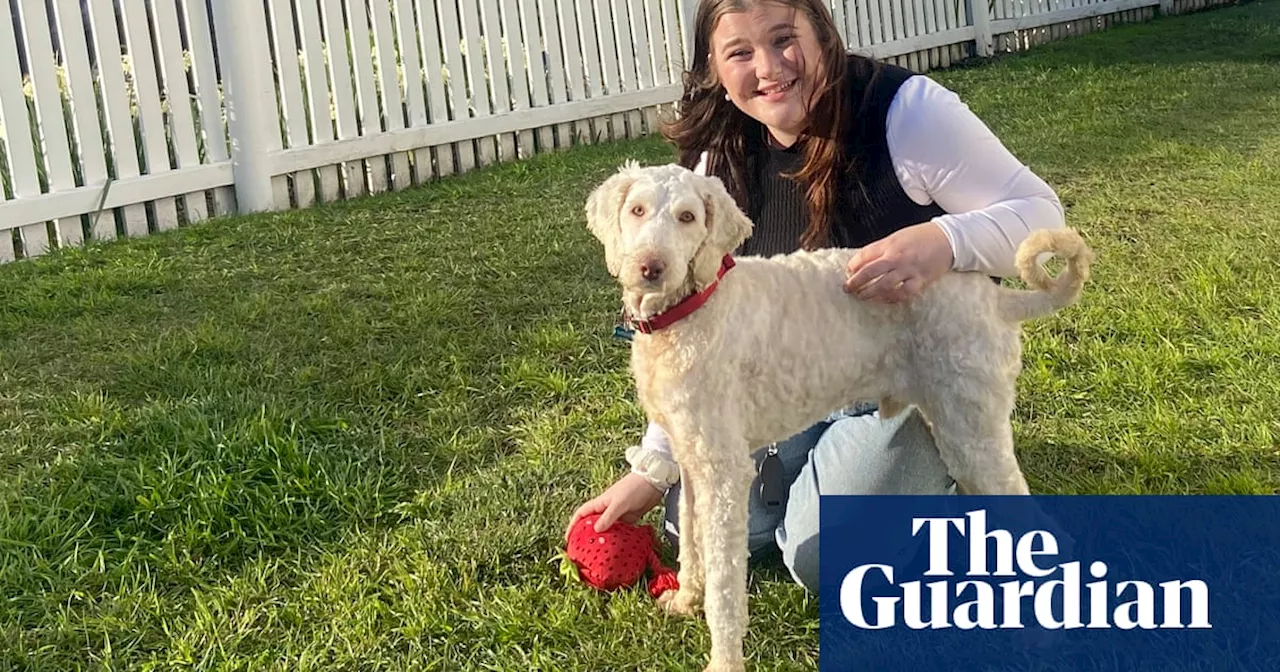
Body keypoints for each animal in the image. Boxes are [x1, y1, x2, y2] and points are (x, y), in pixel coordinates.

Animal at [586, 160, 1095, 665]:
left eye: (688, 217)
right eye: (636, 210)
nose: (650, 268)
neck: (696, 307)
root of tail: (994, 298)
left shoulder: (725, 471)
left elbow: (726, 586)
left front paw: (724, 661)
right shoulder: (692, 458)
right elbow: (693, 544)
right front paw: (688, 599)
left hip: (972, 430)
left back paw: (1042, 636)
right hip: (957, 423)